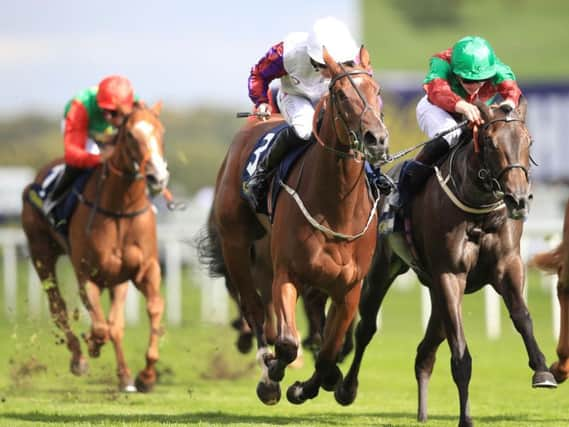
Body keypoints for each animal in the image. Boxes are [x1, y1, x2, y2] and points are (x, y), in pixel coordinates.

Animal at [22, 103, 169, 392]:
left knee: (115, 324)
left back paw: (124, 376)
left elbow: (152, 309)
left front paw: (146, 376)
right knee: (58, 308)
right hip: (41, 253)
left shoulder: (144, 270)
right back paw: (79, 357)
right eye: (131, 135)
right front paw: (92, 342)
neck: (120, 209)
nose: (157, 176)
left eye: (160, 131)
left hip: (116, 279)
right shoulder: (86, 275)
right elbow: (101, 327)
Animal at [197, 46, 388, 404]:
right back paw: (266, 372)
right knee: (255, 312)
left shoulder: (349, 288)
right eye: (341, 95)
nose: (377, 139)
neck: (337, 207)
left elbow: (328, 352)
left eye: (378, 90)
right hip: (235, 246)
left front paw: (309, 386)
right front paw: (275, 374)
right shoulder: (286, 272)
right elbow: (286, 343)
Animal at [332, 99, 556, 427]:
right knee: (366, 329)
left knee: (424, 352)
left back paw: (423, 412)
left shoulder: (508, 265)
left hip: (435, 293)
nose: (518, 199)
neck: (479, 210)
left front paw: (542, 370)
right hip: (382, 271)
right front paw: (466, 418)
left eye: (529, 141)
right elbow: (460, 350)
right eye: (491, 142)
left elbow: (522, 316)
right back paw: (347, 388)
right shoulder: (450, 274)